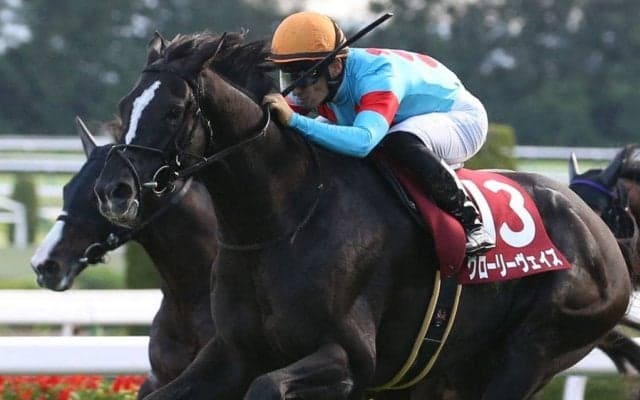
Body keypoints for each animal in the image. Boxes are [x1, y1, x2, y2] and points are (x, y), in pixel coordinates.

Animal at [93, 31, 633, 399]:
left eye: (174, 110)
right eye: (123, 105)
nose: (113, 190)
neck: (278, 222)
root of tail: (600, 232)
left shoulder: (349, 357)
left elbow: (269, 387)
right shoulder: (231, 354)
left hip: (535, 349)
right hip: (448, 370)